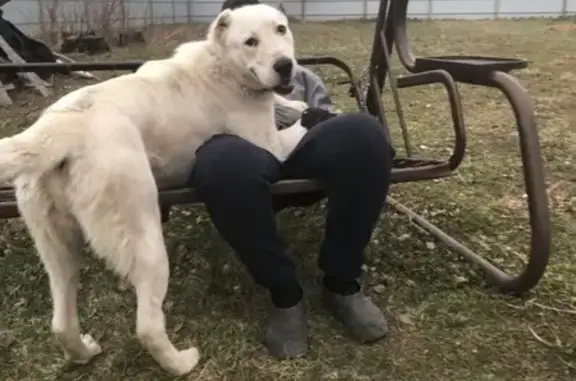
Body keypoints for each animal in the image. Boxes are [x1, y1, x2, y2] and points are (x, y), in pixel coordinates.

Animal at [0, 3, 310, 378]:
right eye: (250, 41)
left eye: (281, 29)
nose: (285, 65)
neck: (222, 65)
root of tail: (61, 126)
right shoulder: (270, 148)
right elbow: (296, 134)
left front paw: (295, 105)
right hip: (144, 239)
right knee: (147, 325)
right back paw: (181, 363)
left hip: (58, 248)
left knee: (61, 322)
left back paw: (83, 352)